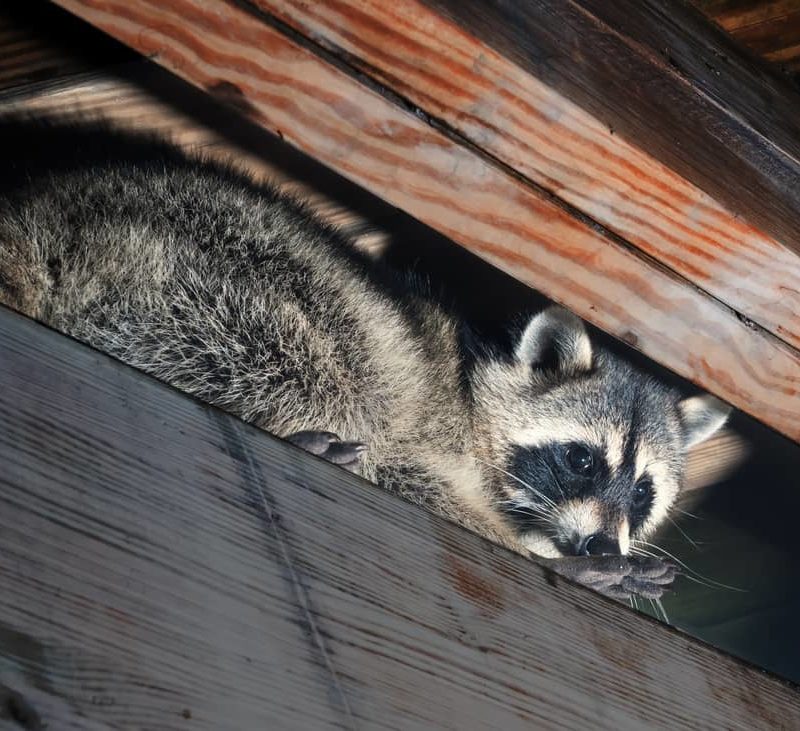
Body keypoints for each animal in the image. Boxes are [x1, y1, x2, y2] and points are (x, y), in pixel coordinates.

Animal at [0, 118, 732, 600]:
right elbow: (406, 471)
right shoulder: (431, 428)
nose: (602, 545)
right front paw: (538, 553)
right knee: (323, 371)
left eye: (644, 490)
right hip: (207, 275)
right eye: (582, 459)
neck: (474, 390)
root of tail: (41, 214)